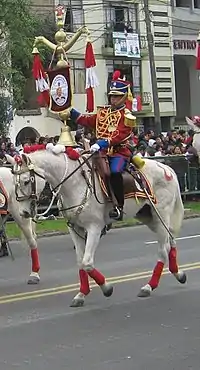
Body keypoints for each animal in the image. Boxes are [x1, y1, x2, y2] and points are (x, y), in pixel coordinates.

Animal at [7, 147, 187, 306]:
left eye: (26, 181)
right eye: (14, 183)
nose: (23, 212)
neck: (74, 183)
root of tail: (166, 168)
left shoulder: (94, 227)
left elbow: (87, 262)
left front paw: (106, 288)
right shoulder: (75, 229)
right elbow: (80, 262)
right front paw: (81, 294)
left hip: (161, 214)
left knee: (163, 250)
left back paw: (149, 286)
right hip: (149, 217)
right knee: (171, 242)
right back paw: (178, 273)